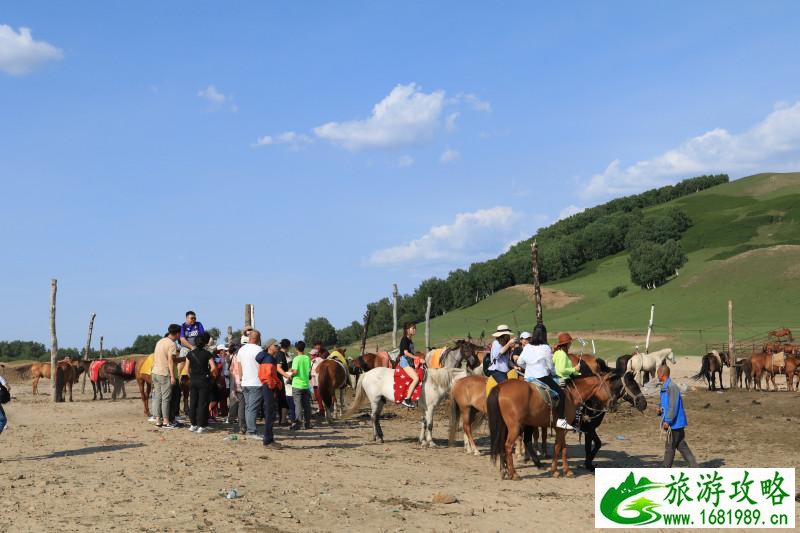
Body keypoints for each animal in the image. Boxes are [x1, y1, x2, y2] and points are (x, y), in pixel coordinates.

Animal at [482, 370, 620, 478]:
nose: (614, 404)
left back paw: (504, 470)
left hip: (506, 426)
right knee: (508, 446)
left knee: (503, 444)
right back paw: (514, 473)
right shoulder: (564, 428)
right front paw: (557, 471)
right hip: (515, 427)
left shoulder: (562, 429)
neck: (571, 395)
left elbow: (562, 447)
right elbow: (559, 447)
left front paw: (566, 470)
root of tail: (501, 387)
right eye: (611, 386)